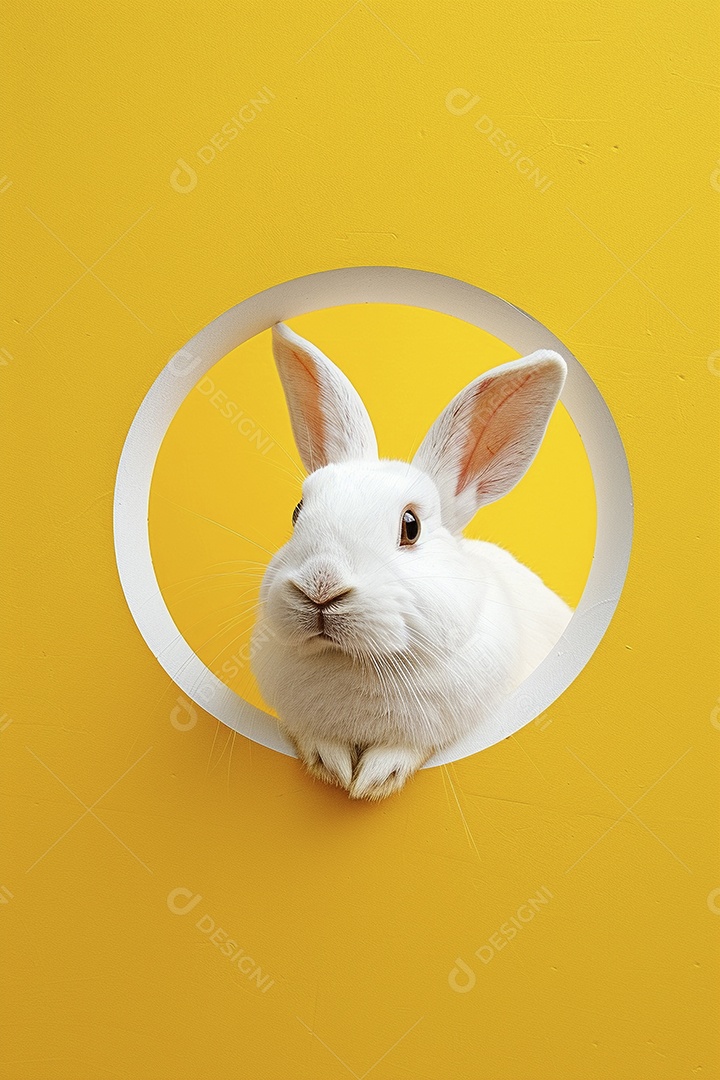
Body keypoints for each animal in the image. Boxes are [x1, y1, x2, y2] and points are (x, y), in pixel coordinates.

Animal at [250, 321, 573, 801]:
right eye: (297, 512)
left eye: (411, 526)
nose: (320, 587)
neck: (354, 663)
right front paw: (331, 765)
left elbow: (407, 748)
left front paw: (373, 780)